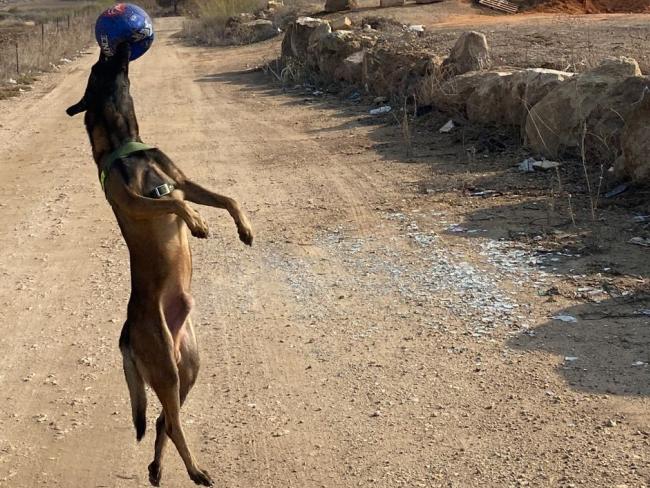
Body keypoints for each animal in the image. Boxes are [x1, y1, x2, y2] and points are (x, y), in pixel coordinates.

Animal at [64, 43, 249, 486]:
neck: (125, 141)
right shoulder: (136, 201)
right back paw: (195, 470)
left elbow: (226, 198)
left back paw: (158, 466)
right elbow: (174, 204)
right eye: (98, 66)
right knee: (174, 423)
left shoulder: (184, 181)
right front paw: (197, 223)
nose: (113, 46)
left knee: (165, 420)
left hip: (189, 367)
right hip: (166, 367)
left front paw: (244, 229)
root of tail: (127, 334)